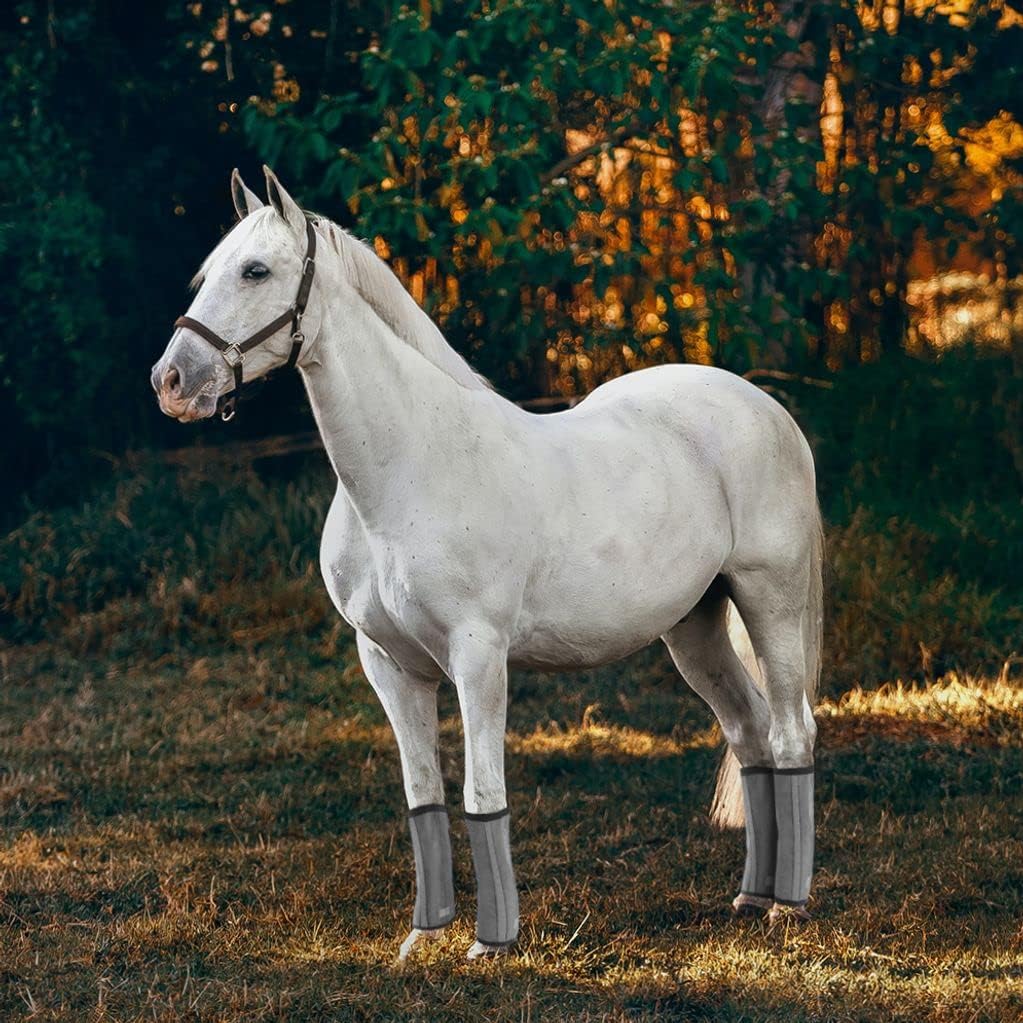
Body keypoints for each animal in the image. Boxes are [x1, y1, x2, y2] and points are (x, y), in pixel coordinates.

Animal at [152, 167, 823, 961]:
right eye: (206, 274)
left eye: (255, 271)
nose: (171, 380)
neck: (408, 469)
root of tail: (767, 409)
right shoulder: (388, 663)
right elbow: (423, 795)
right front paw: (421, 937)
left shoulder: (478, 655)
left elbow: (482, 792)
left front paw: (490, 944)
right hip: (693, 627)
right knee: (749, 731)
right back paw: (751, 897)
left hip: (769, 599)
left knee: (791, 731)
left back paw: (788, 907)